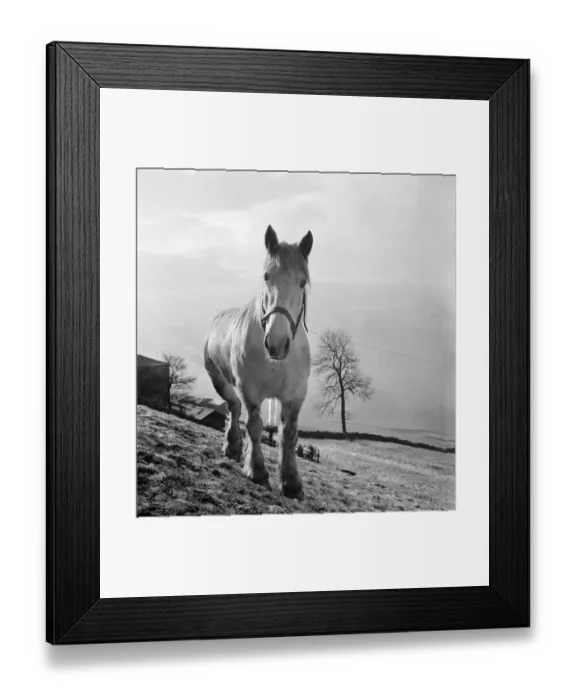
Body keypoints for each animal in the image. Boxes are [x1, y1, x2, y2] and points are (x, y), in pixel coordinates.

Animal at [203, 225, 313, 499]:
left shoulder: (295, 395)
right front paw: (256, 469)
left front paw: (291, 481)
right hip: (220, 380)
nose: (277, 343)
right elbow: (254, 425)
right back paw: (232, 446)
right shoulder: (249, 389)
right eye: (266, 277)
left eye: (302, 282)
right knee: (233, 407)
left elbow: (289, 434)